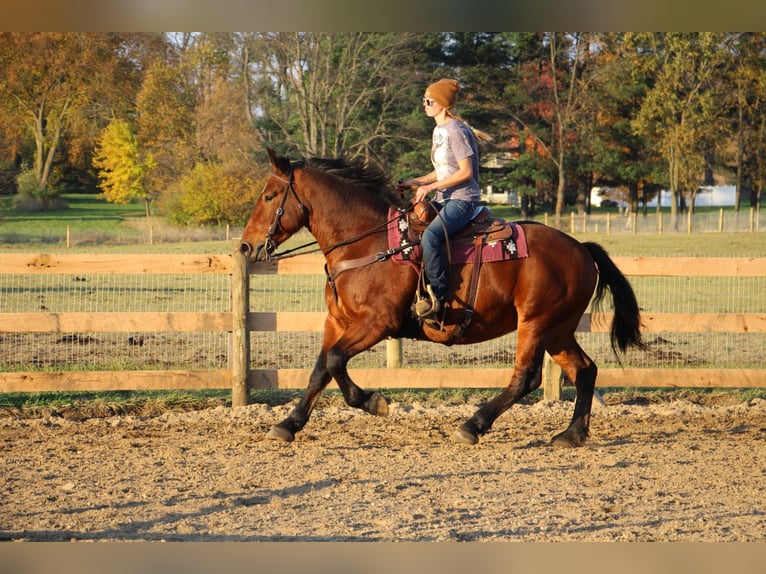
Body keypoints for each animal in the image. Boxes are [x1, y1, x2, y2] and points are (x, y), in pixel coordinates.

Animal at [242, 147, 648, 446]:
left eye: (269, 196)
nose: (246, 246)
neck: (368, 244)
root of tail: (581, 248)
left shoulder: (377, 323)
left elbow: (335, 361)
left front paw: (374, 402)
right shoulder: (338, 322)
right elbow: (320, 370)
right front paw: (289, 424)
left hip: (536, 323)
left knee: (526, 378)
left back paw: (474, 425)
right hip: (558, 329)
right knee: (585, 369)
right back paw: (572, 433)